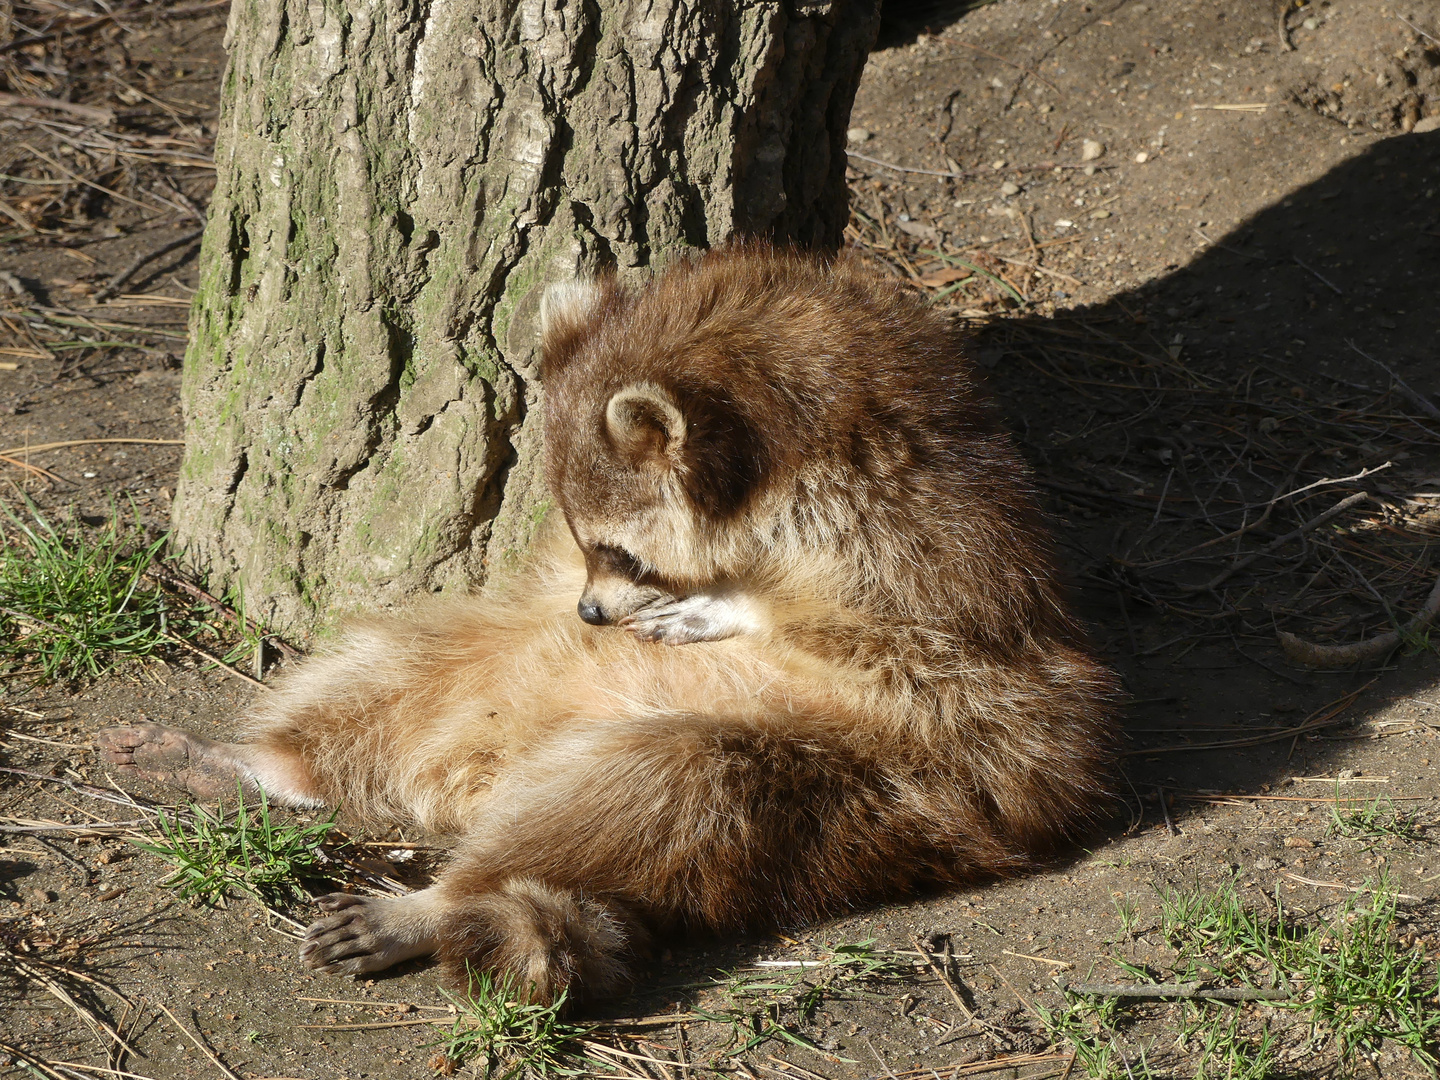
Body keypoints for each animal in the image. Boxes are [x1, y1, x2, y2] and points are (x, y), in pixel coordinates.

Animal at [95, 243, 1117, 1008]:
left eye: (624, 554)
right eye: (585, 540)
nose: (589, 609)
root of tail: (473, 776)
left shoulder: (944, 554)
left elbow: (900, 642)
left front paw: (734, 605)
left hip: (860, 793)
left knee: (658, 791)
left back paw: (441, 899)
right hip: (488, 657)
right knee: (398, 664)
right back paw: (267, 766)